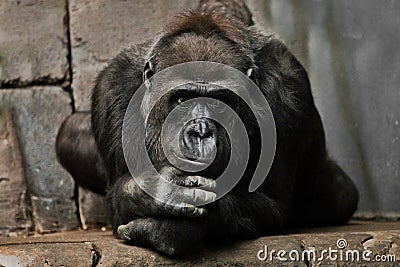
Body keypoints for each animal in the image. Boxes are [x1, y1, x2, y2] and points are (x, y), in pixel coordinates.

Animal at [54, 0, 358, 255]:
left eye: (219, 103)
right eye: (181, 100)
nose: (199, 133)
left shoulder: (289, 91)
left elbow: (270, 203)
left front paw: (166, 227)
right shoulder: (113, 89)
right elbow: (118, 193)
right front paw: (154, 190)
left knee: (341, 193)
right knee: (71, 130)